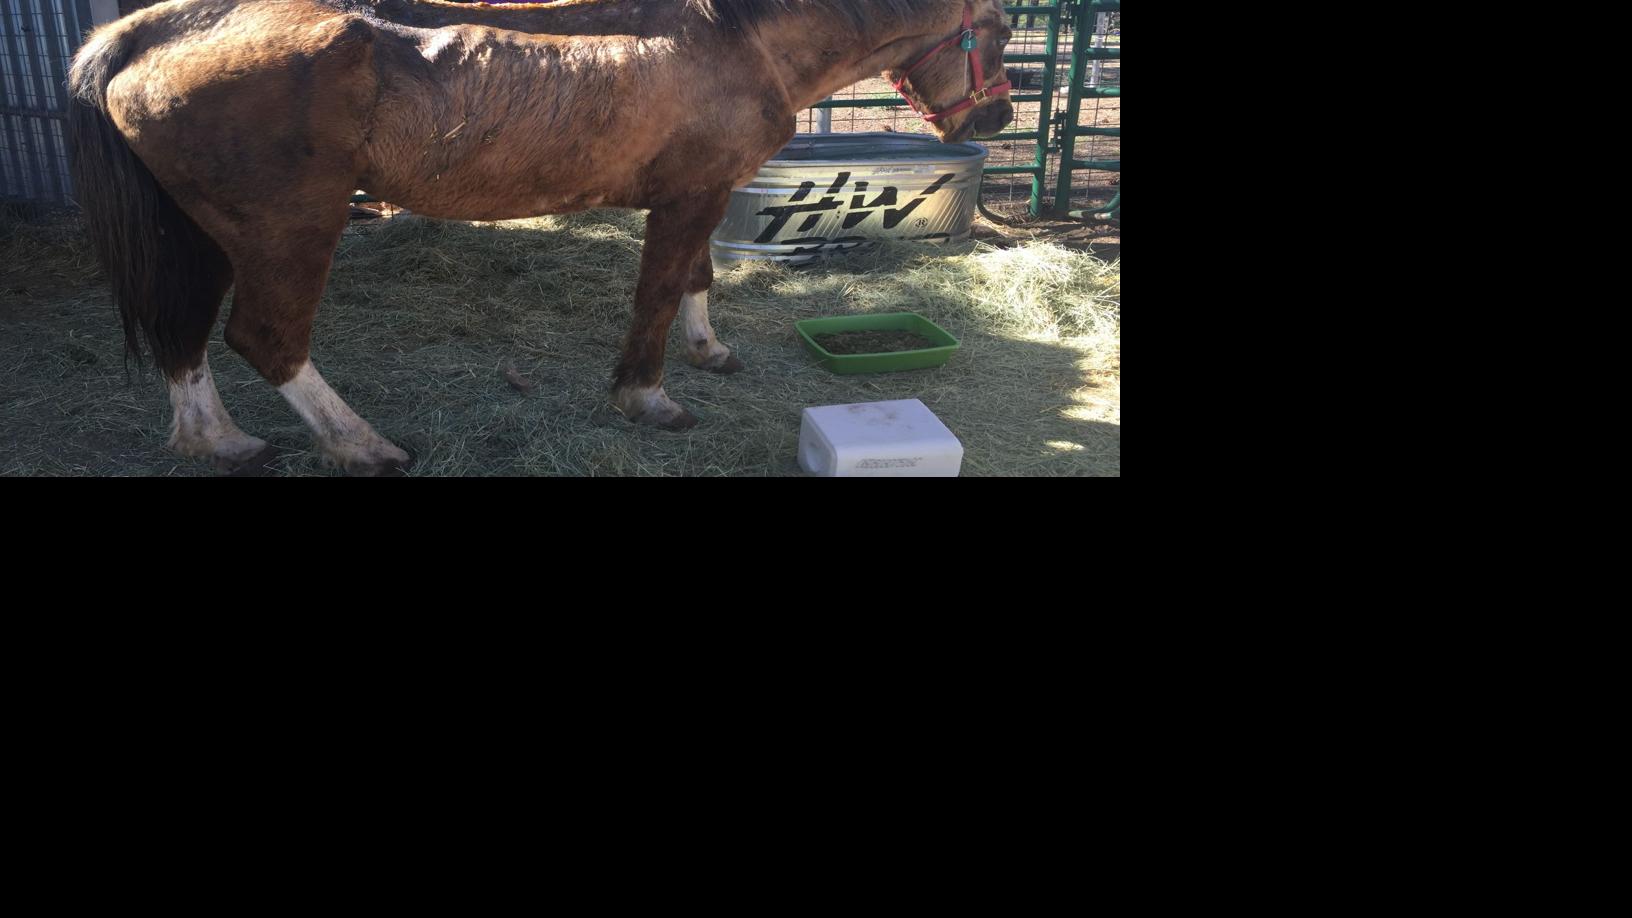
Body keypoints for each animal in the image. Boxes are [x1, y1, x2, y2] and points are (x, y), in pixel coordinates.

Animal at [68, 0, 1014, 475]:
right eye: (1003, 30)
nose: (999, 117)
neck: (736, 39)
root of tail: (140, 30)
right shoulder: (689, 196)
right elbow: (659, 293)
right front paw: (648, 398)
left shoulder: (701, 192)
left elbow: (698, 278)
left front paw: (709, 351)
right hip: (289, 231)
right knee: (265, 338)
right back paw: (362, 445)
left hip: (201, 234)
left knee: (184, 331)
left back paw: (218, 441)